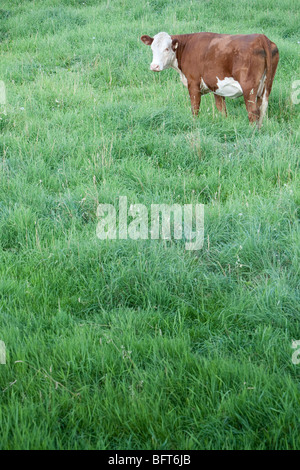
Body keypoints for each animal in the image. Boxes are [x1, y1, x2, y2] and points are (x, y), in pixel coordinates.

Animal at [141, 31, 278, 127]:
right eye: (152, 48)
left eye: (167, 48)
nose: (154, 66)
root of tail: (260, 37)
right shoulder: (216, 86)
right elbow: (221, 108)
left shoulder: (193, 83)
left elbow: (195, 108)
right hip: (265, 86)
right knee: (261, 110)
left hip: (249, 88)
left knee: (253, 112)